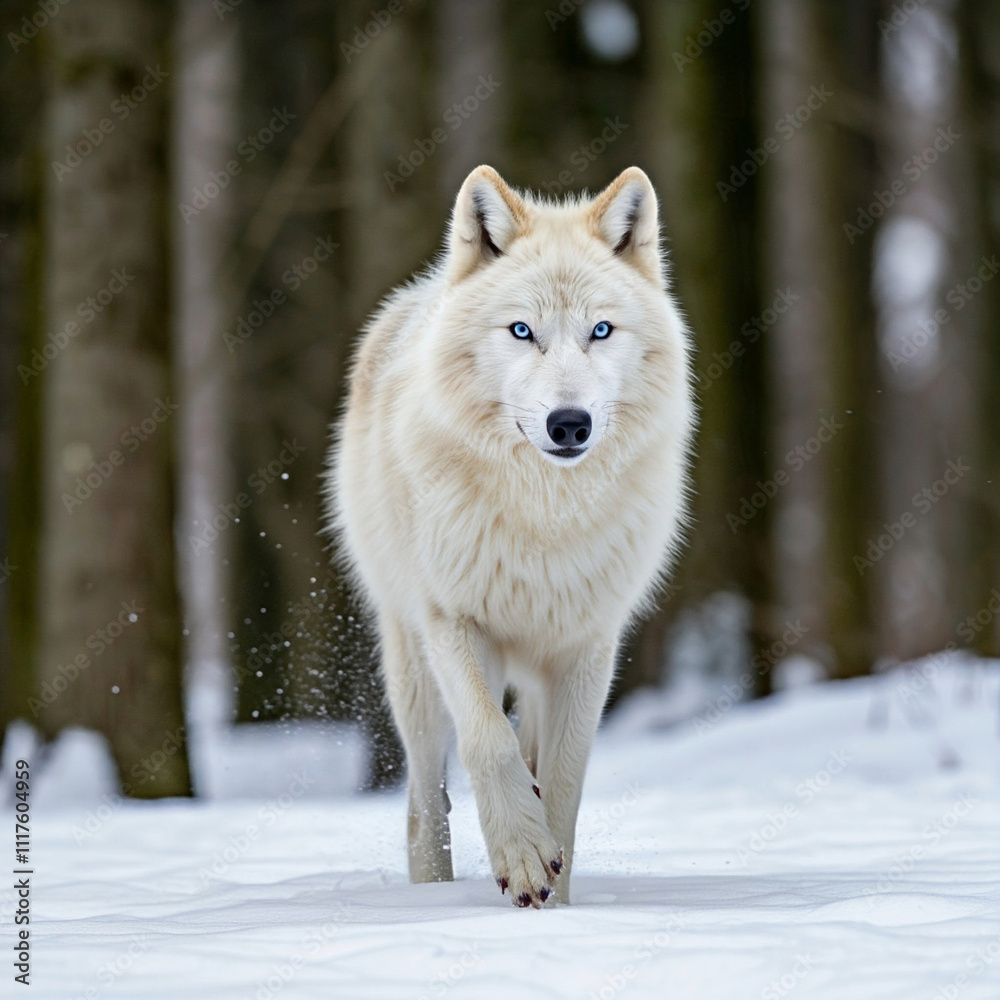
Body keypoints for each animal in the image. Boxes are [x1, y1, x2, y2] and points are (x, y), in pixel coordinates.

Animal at [327, 165, 694, 906]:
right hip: (412, 670)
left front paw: (557, 888)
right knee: (424, 801)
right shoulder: (455, 621)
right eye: (522, 331)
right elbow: (488, 743)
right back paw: (431, 888)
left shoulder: (587, 645)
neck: (544, 513)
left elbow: (563, 777)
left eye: (601, 330)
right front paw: (523, 856)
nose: (569, 423)